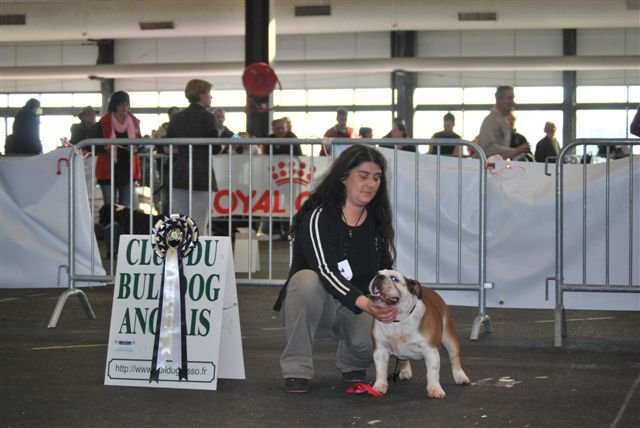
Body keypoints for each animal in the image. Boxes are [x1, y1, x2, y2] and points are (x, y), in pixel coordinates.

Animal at [369, 269, 470, 398]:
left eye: (394, 278)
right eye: (377, 273)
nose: (379, 276)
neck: (398, 320)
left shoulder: (430, 350)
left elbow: (432, 372)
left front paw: (435, 389)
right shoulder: (380, 350)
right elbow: (380, 370)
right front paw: (379, 386)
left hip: (449, 336)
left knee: (454, 357)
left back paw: (460, 377)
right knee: (402, 358)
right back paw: (405, 371)